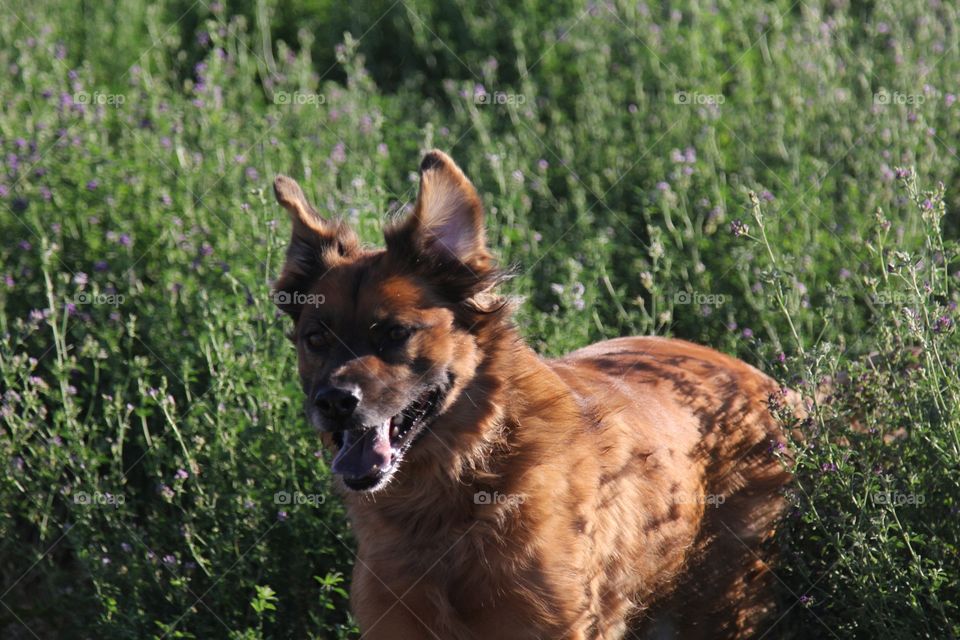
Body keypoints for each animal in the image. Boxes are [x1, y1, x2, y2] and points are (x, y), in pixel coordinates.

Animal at [274, 151, 792, 640]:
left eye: (396, 334)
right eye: (315, 339)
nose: (334, 403)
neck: (454, 488)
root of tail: (767, 383)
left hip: (719, 604)